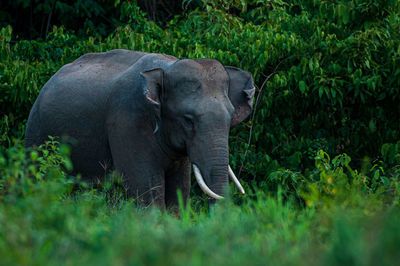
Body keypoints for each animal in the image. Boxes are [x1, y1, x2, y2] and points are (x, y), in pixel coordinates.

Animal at [25, 49, 255, 208]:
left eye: (230, 118)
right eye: (188, 119)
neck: (166, 68)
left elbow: (179, 189)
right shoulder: (127, 121)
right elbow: (147, 191)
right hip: (37, 133)